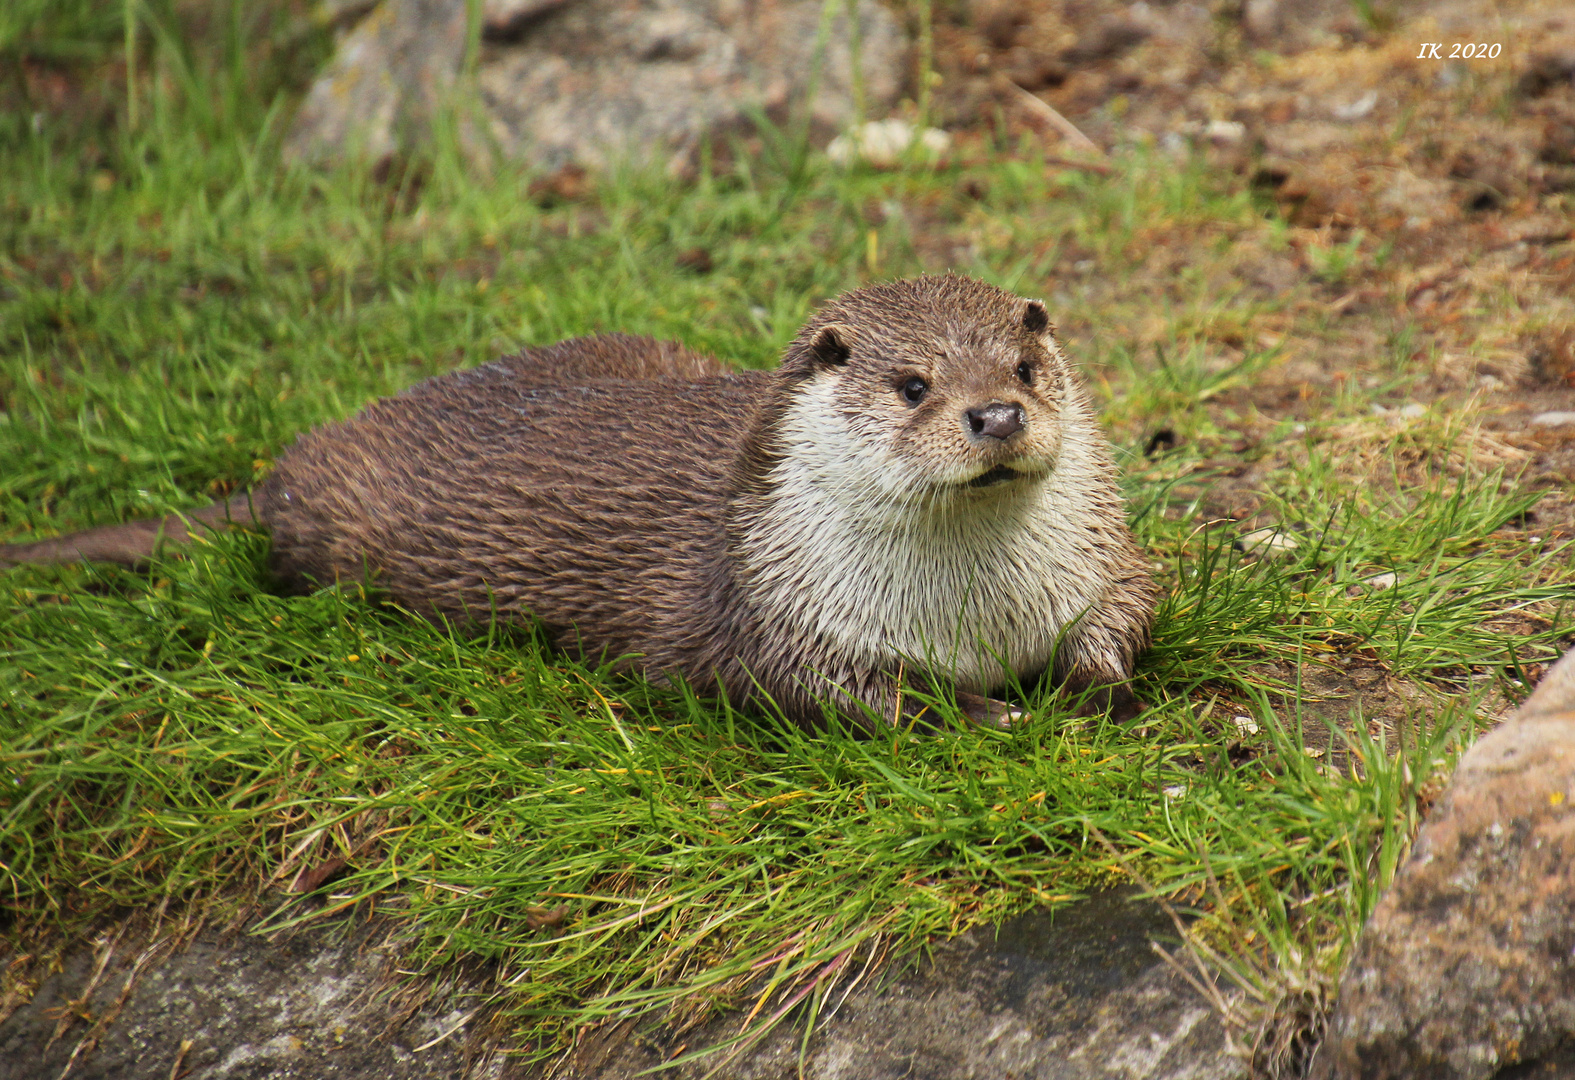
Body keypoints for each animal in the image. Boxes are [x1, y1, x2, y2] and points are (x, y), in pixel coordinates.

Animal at [0, 277, 1159, 736]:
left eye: (1024, 367)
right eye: (913, 385)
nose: (996, 414)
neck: (972, 616)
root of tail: (292, 468)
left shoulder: (1103, 557)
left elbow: (1131, 611)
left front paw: (1091, 682)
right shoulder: (765, 608)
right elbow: (831, 694)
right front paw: (985, 712)